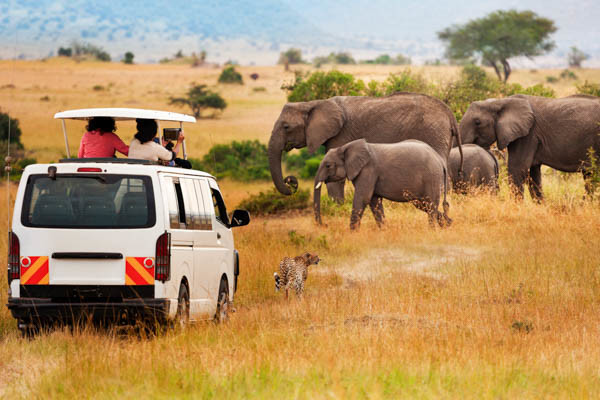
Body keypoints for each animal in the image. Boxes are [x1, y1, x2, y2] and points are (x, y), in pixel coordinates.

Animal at [268, 92, 464, 202]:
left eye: (286, 127)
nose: (290, 181)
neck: (313, 103)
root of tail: (449, 113)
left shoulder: (341, 135)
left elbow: (336, 180)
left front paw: (337, 209)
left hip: (432, 132)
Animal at [314, 139, 450, 230]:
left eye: (328, 165)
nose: (324, 225)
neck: (345, 147)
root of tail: (440, 160)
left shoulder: (368, 170)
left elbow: (363, 198)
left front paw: (352, 233)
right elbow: (374, 201)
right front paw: (383, 230)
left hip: (431, 177)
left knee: (430, 204)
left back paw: (432, 229)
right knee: (424, 204)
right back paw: (448, 224)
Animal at [460, 94, 600, 200]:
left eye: (477, 122)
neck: (501, 101)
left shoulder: (528, 135)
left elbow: (517, 169)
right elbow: (533, 174)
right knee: (589, 176)